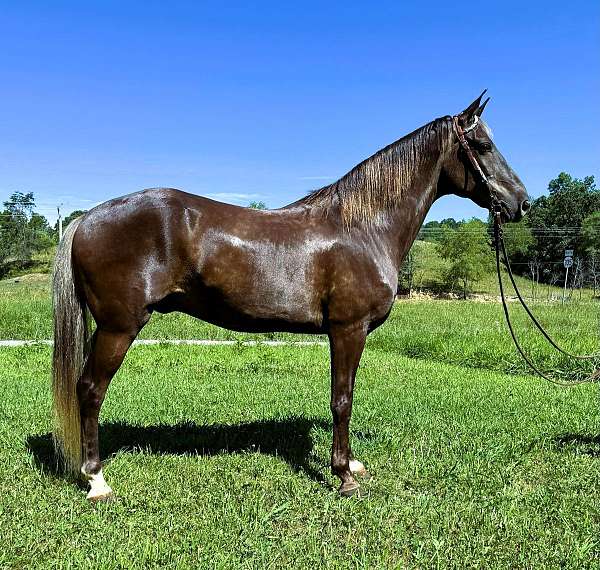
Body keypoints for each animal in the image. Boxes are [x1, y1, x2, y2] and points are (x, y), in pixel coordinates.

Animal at [52, 92, 528, 496]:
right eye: (483, 145)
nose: (521, 202)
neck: (364, 227)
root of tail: (88, 218)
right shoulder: (347, 329)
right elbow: (341, 399)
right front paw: (343, 476)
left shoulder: (352, 334)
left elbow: (347, 394)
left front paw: (352, 464)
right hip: (118, 328)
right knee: (90, 389)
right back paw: (96, 480)